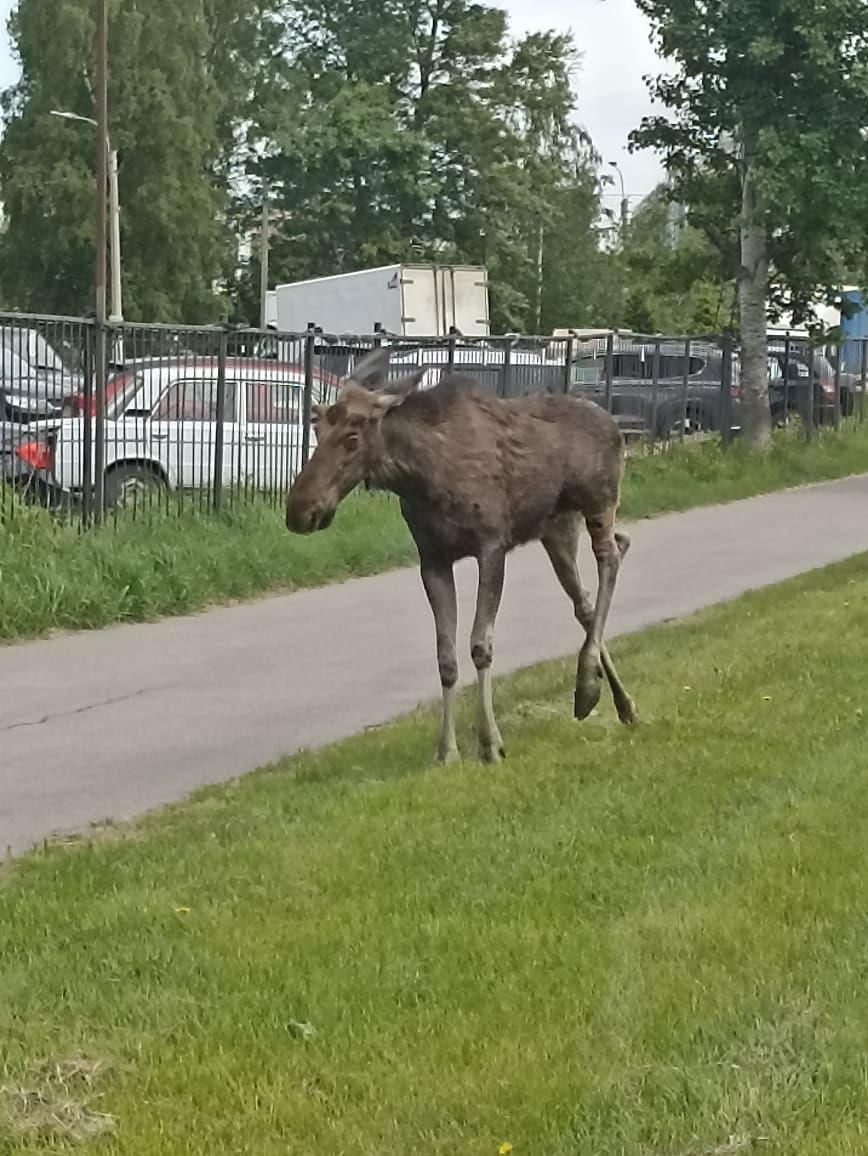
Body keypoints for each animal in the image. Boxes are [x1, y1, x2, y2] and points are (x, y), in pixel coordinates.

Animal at [288, 349, 633, 767]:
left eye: (353, 437)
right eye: (317, 430)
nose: (299, 510)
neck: (420, 478)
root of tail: (616, 427)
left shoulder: (492, 547)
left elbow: (480, 646)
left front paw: (491, 743)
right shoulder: (433, 560)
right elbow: (446, 658)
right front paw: (447, 750)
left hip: (599, 501)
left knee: (611, 557)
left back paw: (586, 684)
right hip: (557, 530)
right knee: (585, 599)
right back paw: (619, 702)